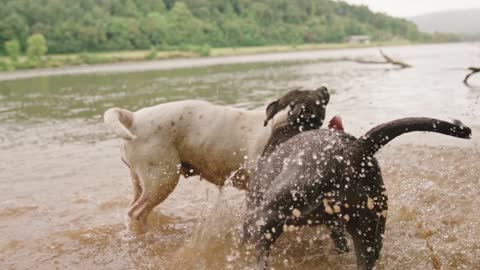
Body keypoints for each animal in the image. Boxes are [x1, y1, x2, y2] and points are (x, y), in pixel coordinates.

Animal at [104, 87, 330, 225]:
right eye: (316, 98)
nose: (325, 88)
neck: (281, 124)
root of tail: (134, 118)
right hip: (162, 180)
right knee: (137, 211)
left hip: (141, 181)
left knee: (133, 209)